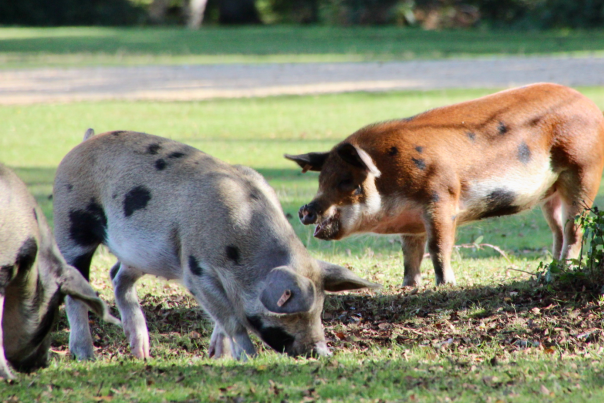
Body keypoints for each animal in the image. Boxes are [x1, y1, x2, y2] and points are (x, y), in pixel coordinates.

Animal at [53, 130, 378, 362]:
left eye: (320, 309)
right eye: (292, 312)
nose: (321, 352)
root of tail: (85, 141)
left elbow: (223, 320)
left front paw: (218, 357)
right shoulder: (196, 269)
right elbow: (232, 319)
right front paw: (249, 359)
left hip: (143, 254)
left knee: (117, 276)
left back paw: (142, 354)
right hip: (71, 222)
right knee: (74, 289)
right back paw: (85, 357)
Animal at [286, 83, 604, 288]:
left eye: (347, 182)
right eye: (321, 180)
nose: (305, 210)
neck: (390, 179)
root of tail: (591, 106)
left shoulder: (442, 198)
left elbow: (438, 245)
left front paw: (445, 285)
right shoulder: (410, 221)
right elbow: (409, 253)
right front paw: (407, 286)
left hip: (583, 170)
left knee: (574, 229)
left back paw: (564, 269)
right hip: (551, 193)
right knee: (558, 231)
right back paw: (553, 270)